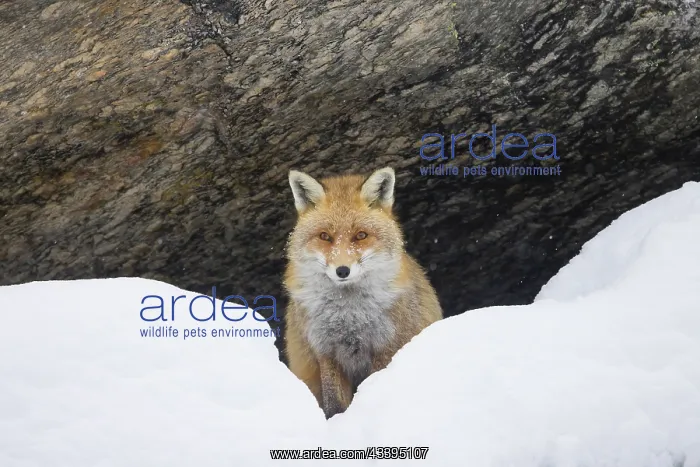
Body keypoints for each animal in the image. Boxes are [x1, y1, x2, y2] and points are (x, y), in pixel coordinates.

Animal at [283, 166, 443, 419]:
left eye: (360, 235)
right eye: (325, 236)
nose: (342, 270)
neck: (349, 314)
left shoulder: (385, 345)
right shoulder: (325, 350)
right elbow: (334, 404)